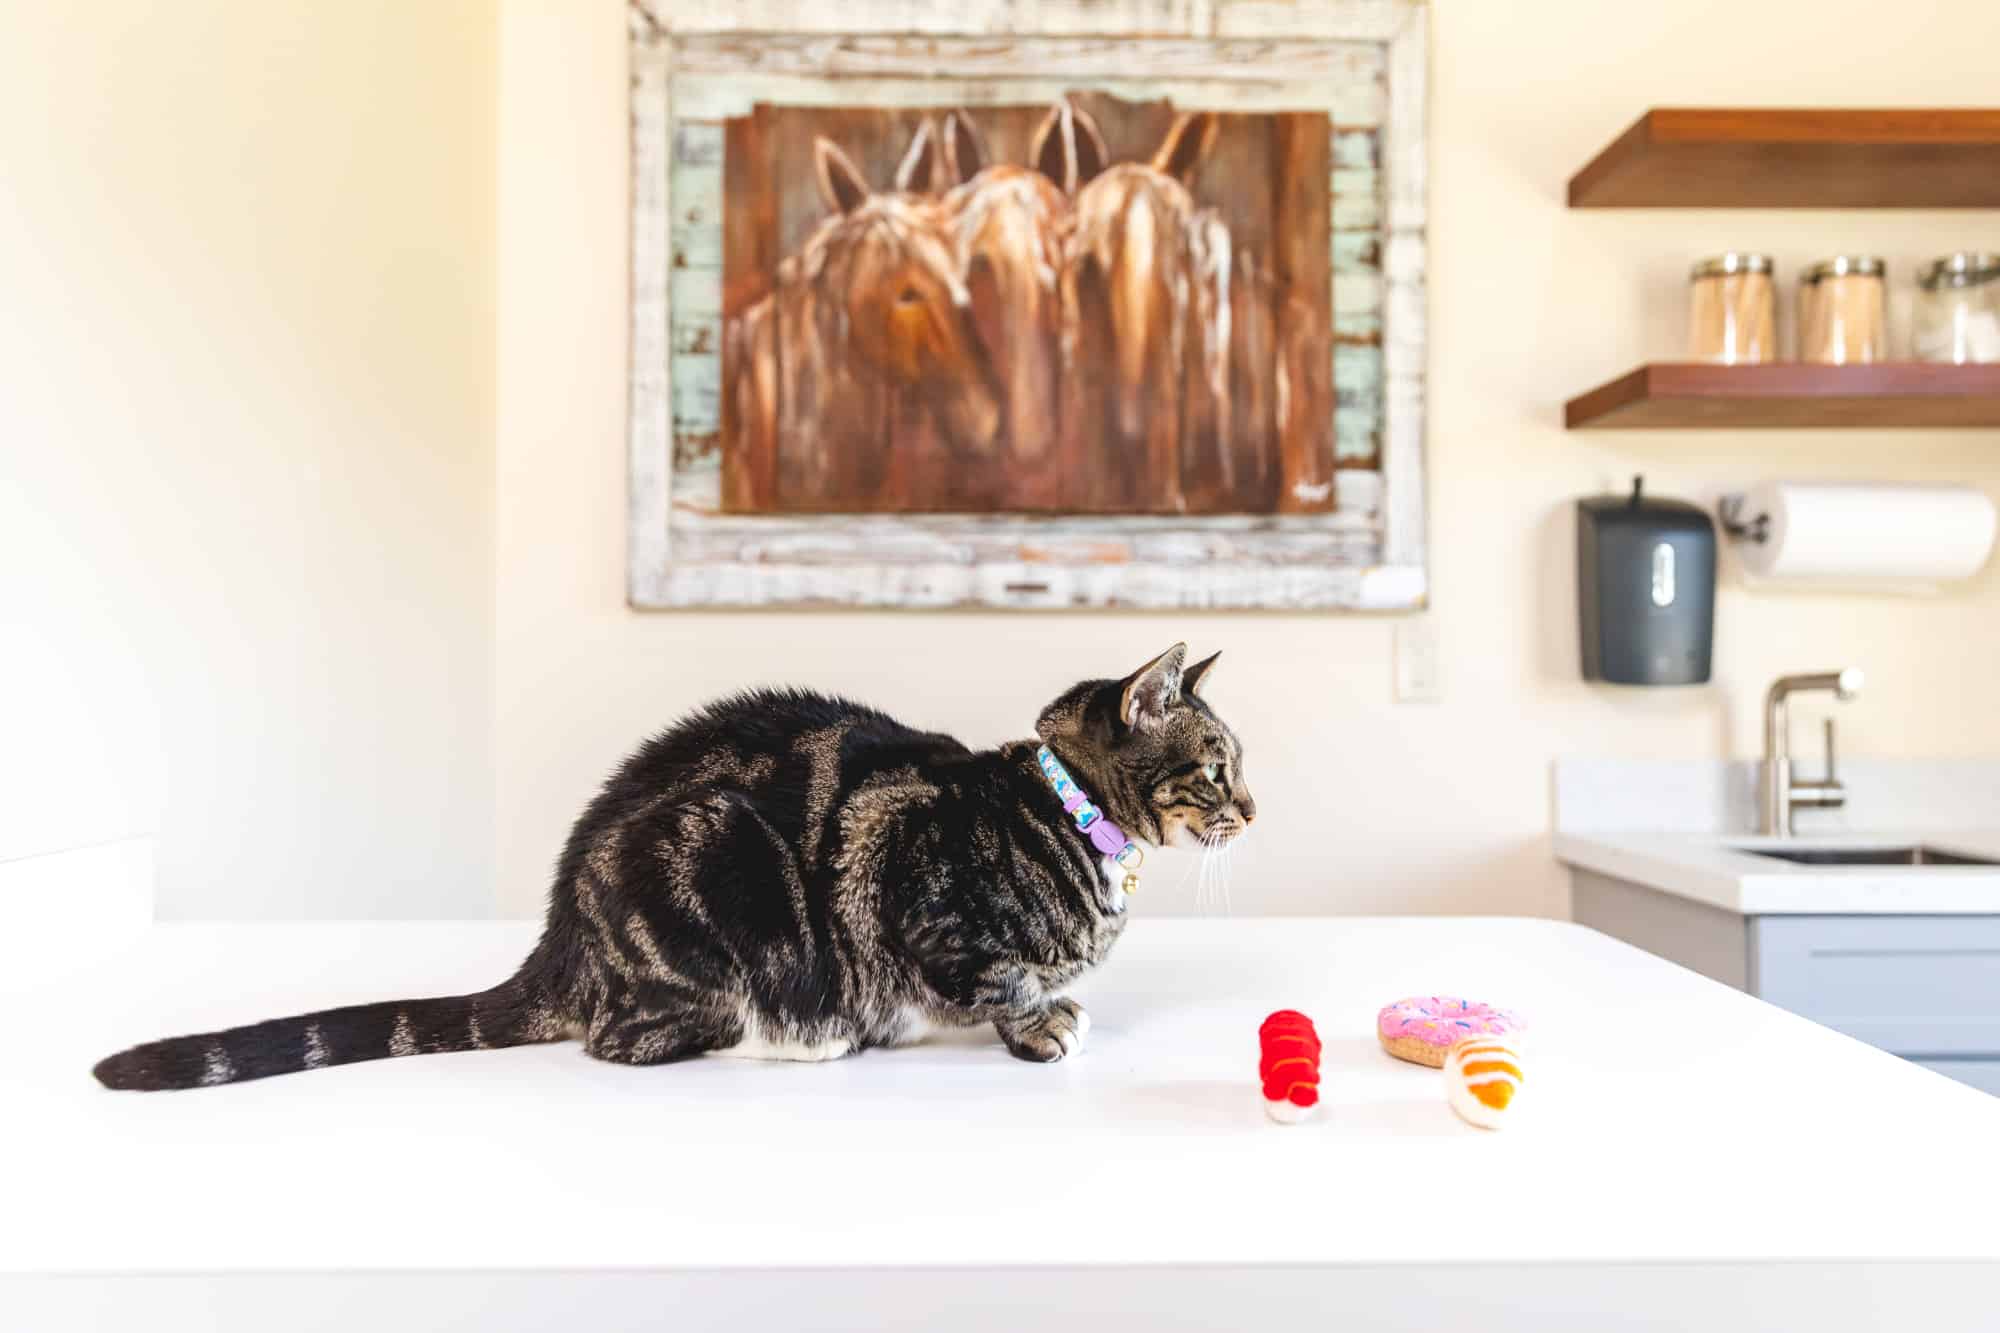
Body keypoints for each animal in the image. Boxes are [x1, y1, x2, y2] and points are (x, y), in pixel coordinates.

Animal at [97, 644, 1248, 1088]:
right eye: (1218, 763)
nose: (1251, 806)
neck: (1066, 815)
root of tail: (560, 937)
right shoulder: (920, 896)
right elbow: (999, 979)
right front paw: (1041, 1022)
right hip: (718, 871)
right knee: (635, 1036)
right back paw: (802, 1034)